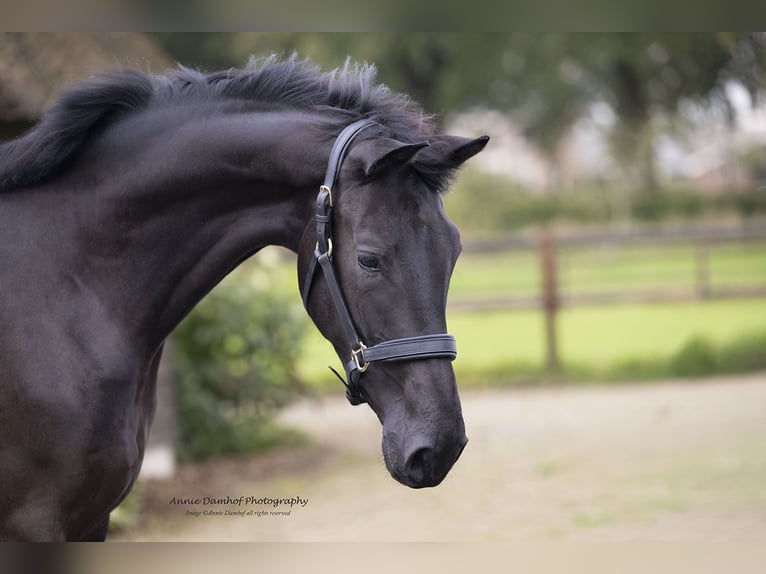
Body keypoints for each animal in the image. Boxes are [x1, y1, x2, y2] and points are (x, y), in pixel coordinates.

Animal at [0, 56, 488, 544]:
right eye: (368, 259)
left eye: (454, 251)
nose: (440, 446)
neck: (73, 285)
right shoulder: (36, 521)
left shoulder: (92, 519)